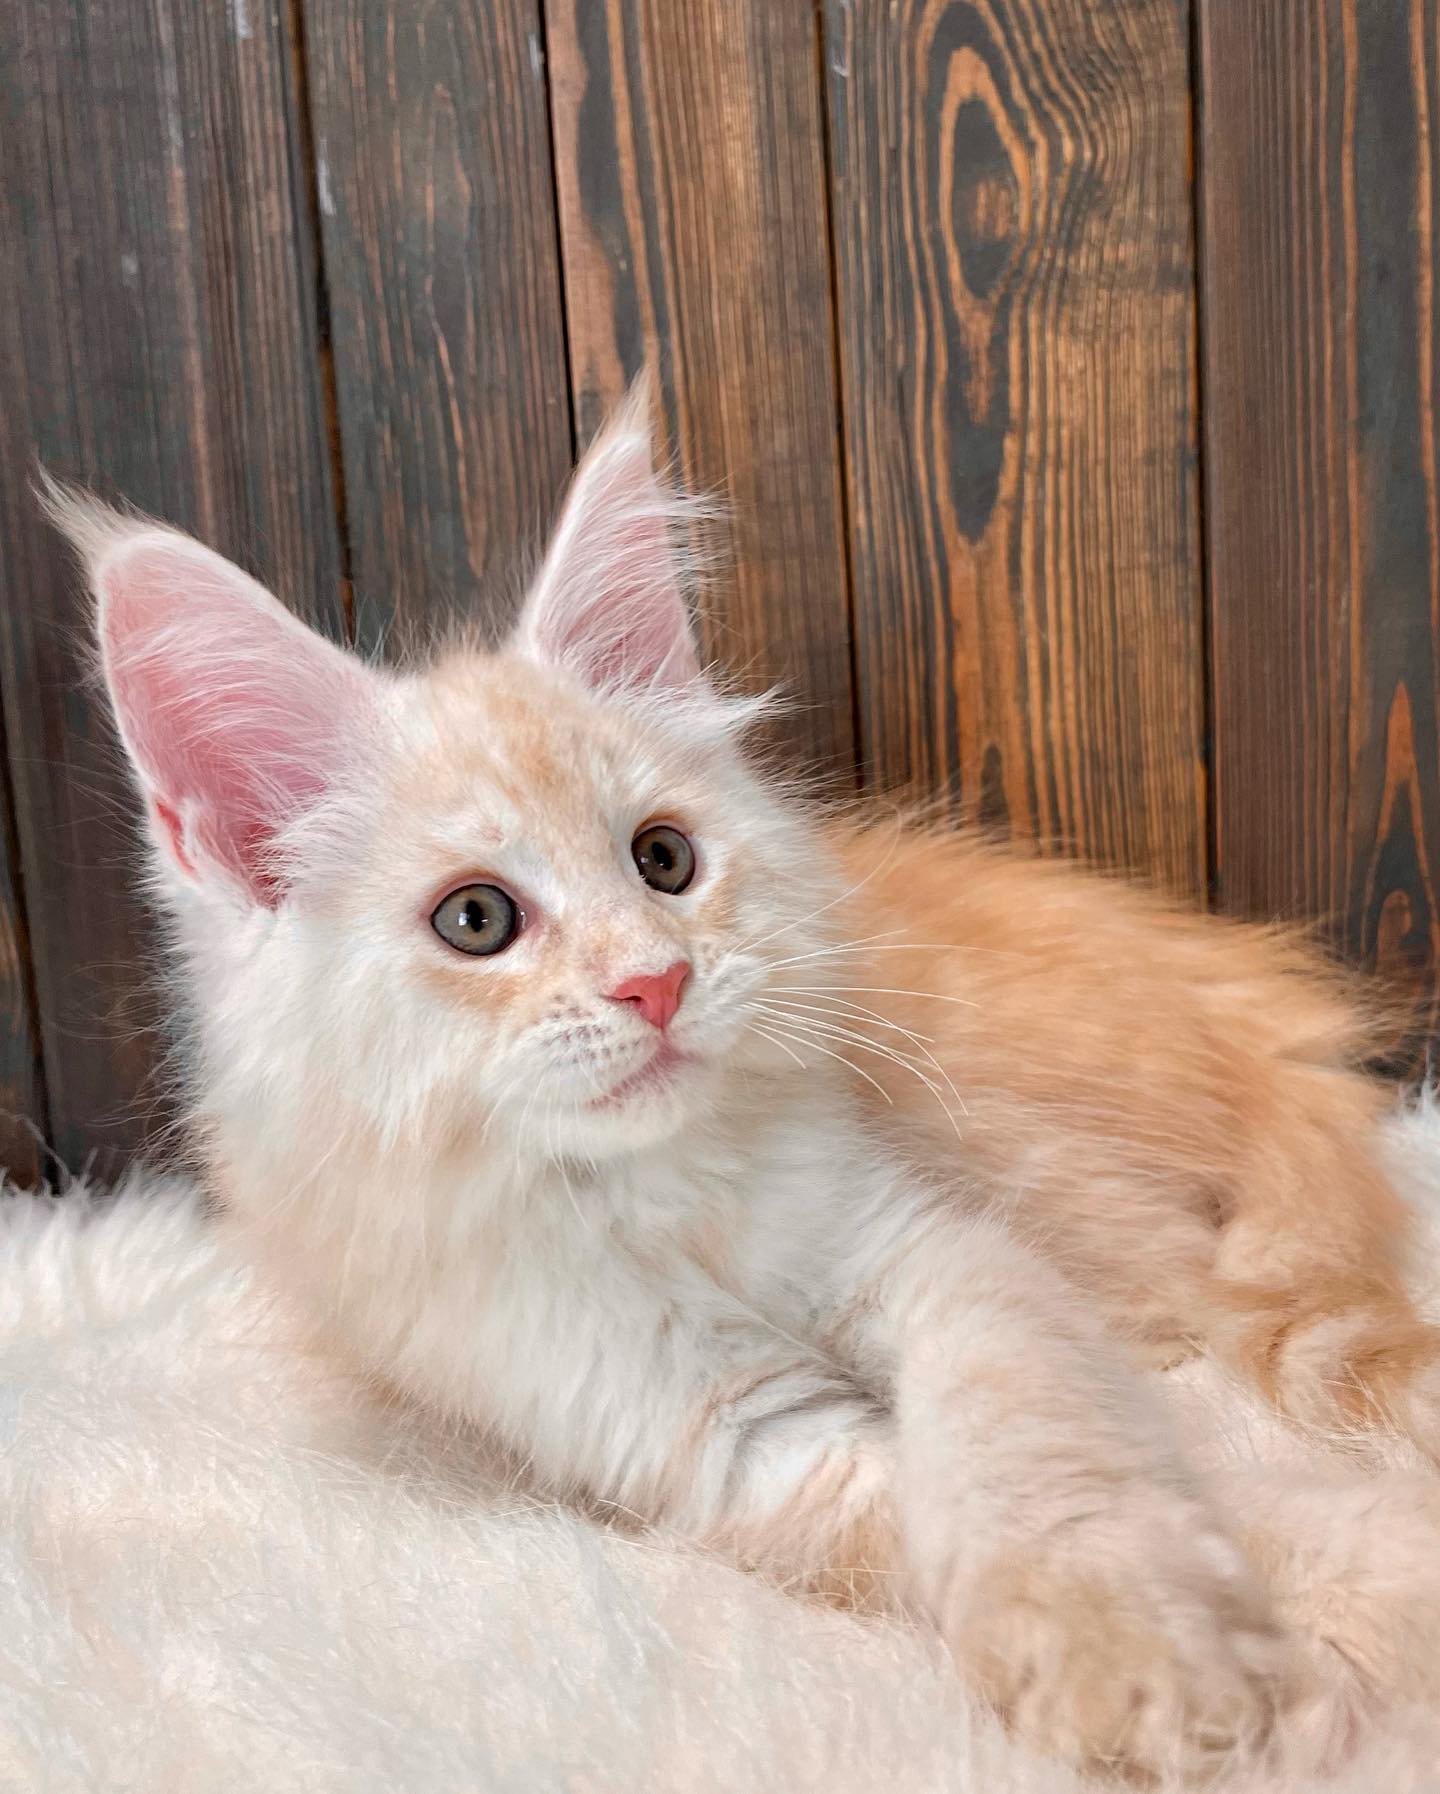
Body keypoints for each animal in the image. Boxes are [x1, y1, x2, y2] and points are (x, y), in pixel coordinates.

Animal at [42, 385, 1440, 1772]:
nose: (654, 983)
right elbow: (1146, 1506)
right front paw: (1225, 1632)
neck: (661, 1197)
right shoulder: (713, 1438)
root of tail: (1250, 1003)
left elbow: (1038, 1433)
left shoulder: (937, 1251)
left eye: (664, 860)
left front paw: (1135, 1618)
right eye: (477, 921)